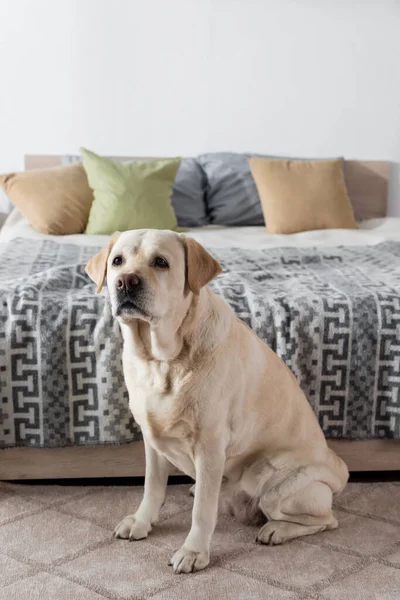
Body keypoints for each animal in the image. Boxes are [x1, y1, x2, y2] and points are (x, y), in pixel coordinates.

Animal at [86, 229, 348, 572]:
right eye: (117, 261)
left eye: (161, 262)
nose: (126, 281)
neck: (162, 361)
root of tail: (338, 468)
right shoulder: (152, 440)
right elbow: (152, 487)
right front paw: (142, 522)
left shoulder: (210, 445)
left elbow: (202, 511)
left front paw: (193, 552)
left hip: (271, 479)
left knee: (327, 520)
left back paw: (276, 530)